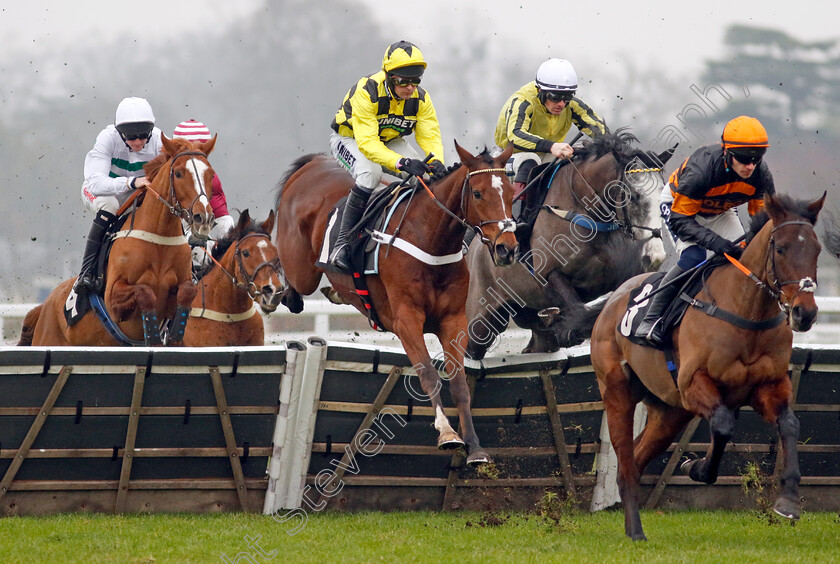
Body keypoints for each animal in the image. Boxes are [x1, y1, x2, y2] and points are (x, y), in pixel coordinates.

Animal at [25, 135, 218, 348]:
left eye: (210, 175)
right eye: (178, 173)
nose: (204, 218)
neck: (159, 239)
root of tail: (45, 306)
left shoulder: (180, 285)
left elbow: (187, 291)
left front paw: (174, 333)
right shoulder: (113, 298)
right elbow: (144, 291)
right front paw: (152, 336)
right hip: (47, 339)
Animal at [272, 143, 520, 464]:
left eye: (511, 192)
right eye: (477, 193)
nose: (507, 248)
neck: (431, 241)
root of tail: (312, 165)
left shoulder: (453, 320)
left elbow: (459, 383)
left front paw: (475, 447)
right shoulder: (406, 320)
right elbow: (428, 374)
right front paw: (447, 433)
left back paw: (338, 294)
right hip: (302, 271)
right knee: (292, 286)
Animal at [462, 130, 672, 360]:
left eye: (662, 194)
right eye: (633, 196)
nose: (656, 257)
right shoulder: (548, 274)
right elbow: (580, 308)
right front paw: (568, 330)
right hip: (480, 322)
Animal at [592, 192, 828, 540]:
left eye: (816, 250)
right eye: (781, 248)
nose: (804, 313)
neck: (746, 312)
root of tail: (613, 298)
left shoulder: (768, 385)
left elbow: (788, 425)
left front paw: (788, 502)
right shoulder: (693, 384)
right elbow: (723, 425)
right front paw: (697, 467)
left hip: (669, 412)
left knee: (635, 458)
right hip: (617, 392)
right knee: (625, 458)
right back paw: (636, 531)